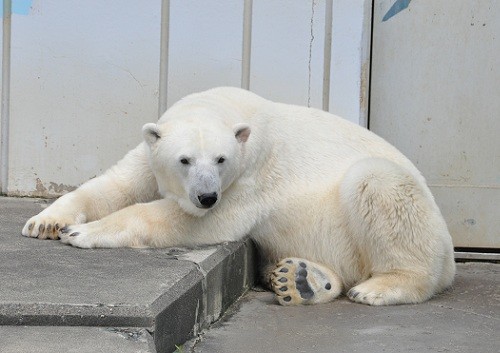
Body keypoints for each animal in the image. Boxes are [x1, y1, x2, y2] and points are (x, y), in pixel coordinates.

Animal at [21, 86, 456, 304]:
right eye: (184, 160)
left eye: (220, 158)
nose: (206, 196)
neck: (228, 107)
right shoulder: (151, 153)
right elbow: (116, 184)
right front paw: (46, 222)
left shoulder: (252, 174)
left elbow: (196, 221)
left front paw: (82, 233)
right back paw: (300, 280)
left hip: (410, 223)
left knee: (379, 184)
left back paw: (378, 288)